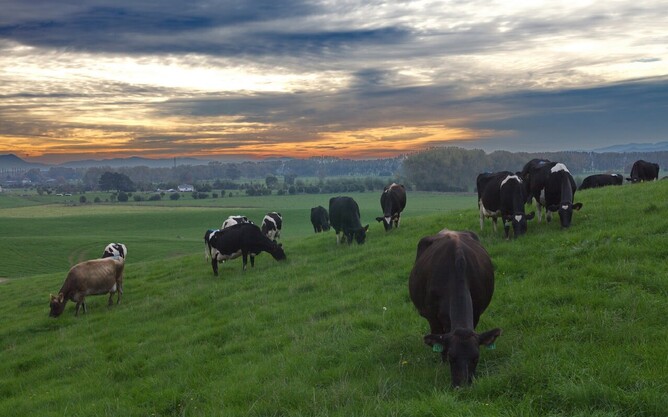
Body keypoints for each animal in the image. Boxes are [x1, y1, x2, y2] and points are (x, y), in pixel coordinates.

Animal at [408, 229, 501, 387]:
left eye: (476, 358)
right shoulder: (432, 317)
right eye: (451, 357)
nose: (461, 385)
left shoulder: (476, 312)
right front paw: (442, 362)